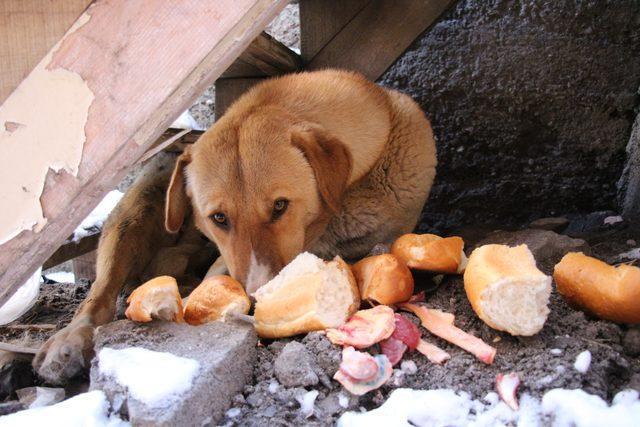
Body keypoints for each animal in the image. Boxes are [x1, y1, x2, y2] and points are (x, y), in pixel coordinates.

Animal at [32, 69, 438, 384]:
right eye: (219, 218)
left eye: (280, 206)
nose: (257, 299)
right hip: (133, 216)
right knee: (100, 292)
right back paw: (69, 341)